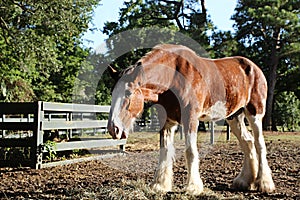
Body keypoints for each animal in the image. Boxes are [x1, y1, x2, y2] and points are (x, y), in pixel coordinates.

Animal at [106, 44, 276, 195]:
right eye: (112, 93)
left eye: (128, 93)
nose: (113, 129)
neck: (173, 76)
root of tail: (254, 68)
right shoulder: (167, 121)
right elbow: (164, 150)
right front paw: (159, 185)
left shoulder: (191, 118)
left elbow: (191, 151)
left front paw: (193, 187)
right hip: (234, 116)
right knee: (247, 142)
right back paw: (244, 181)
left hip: (254, 113)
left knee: (259, 144)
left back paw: (264, 184)